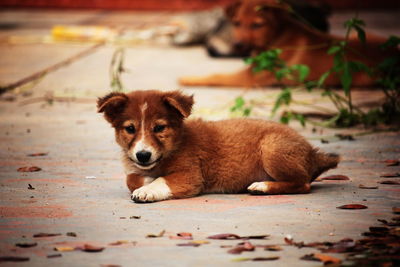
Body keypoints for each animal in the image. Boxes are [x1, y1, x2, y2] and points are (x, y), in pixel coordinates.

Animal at [97, 90, 338, 203]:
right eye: (130, 129)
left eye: (159, 128)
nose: (143, 155)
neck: (175, 145)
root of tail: (312, 153)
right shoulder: (135, 169)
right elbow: (131, 179)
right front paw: (145, 181)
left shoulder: (191, 176)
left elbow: (163, 181)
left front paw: (148, 189)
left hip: (272, 148)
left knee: (303, 183)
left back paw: (262, 186)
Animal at [179, 0, 396, 88]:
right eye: (237, 23)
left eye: (257, 24)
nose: (239, 45)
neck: (278, 35)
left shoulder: (251, 76)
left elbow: (216, 76)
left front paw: (189, 80)